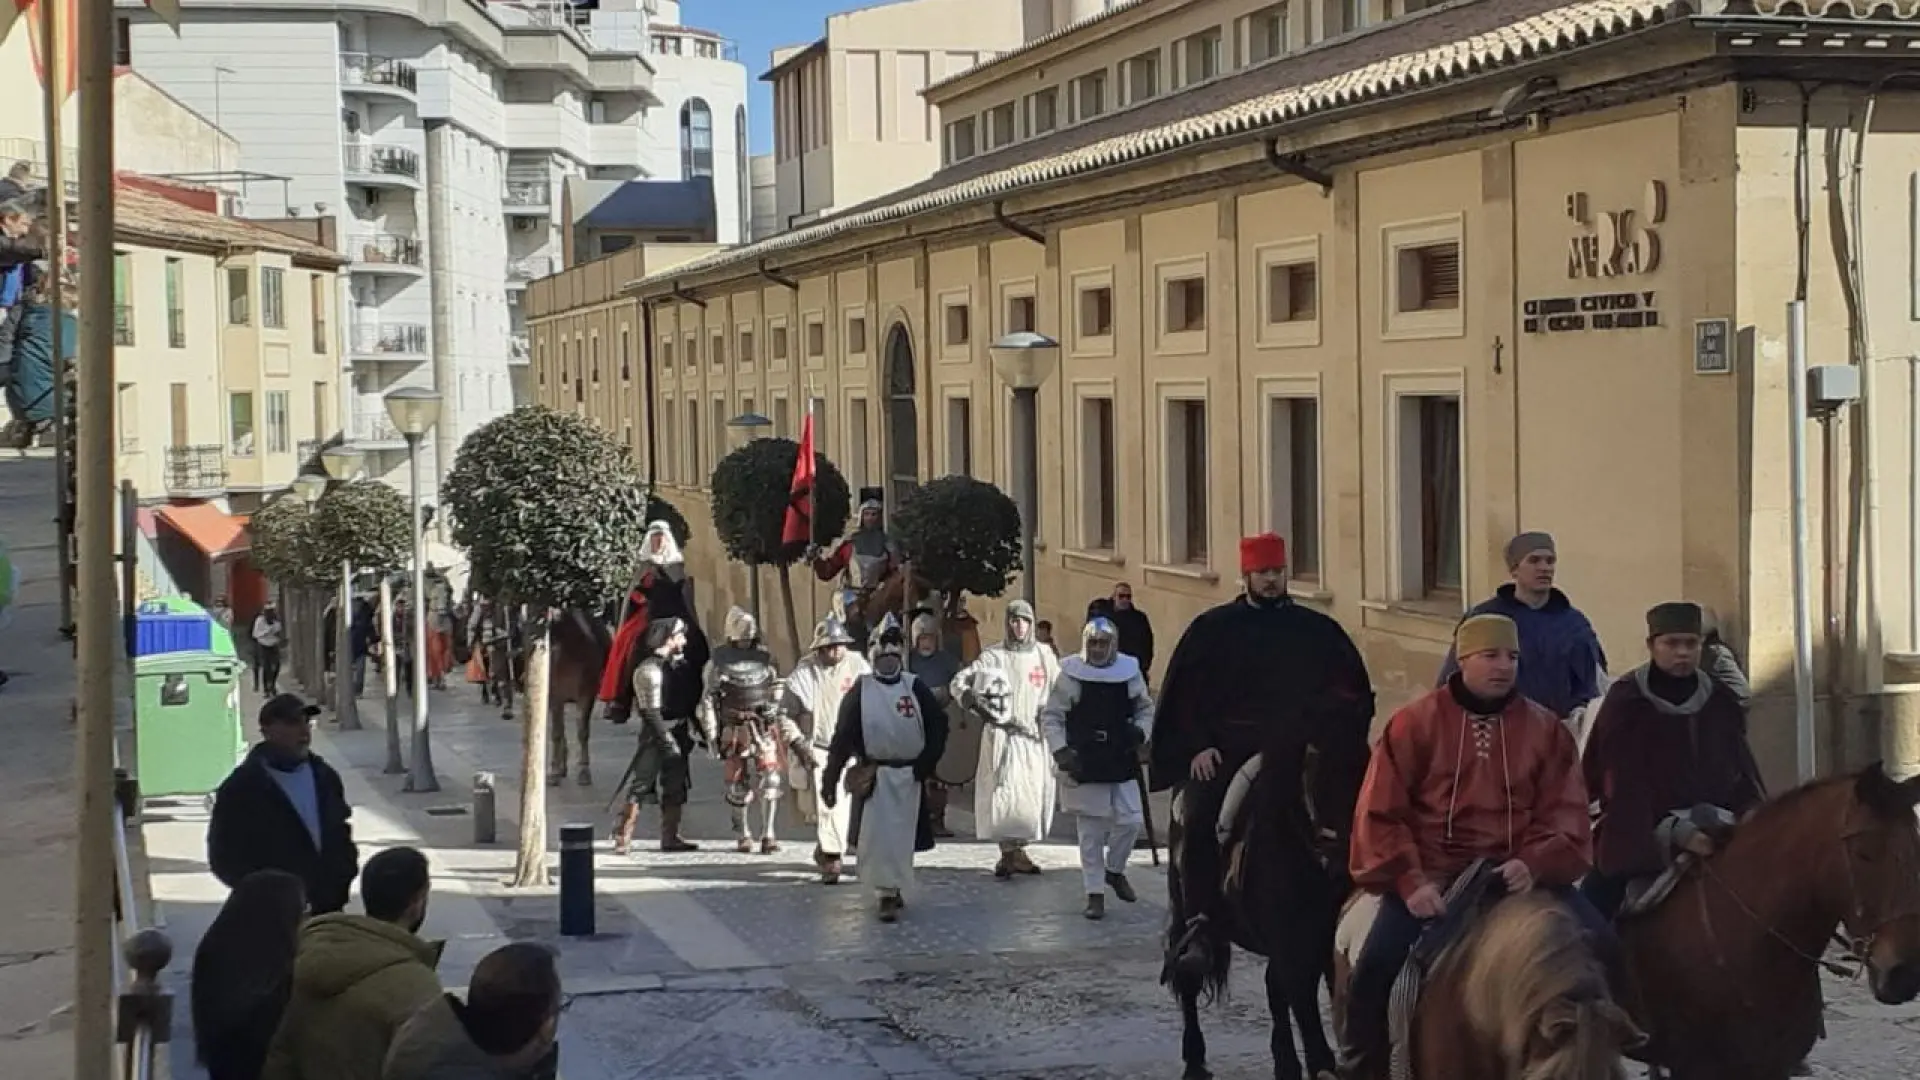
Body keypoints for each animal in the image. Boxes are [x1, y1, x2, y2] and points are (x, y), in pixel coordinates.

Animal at [541, 607, 606, 780]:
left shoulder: (587, 694)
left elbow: (582, 731)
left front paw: (584, 770)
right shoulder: (555, 697)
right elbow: (556, 732)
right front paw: (554, 770)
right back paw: (560, 766)